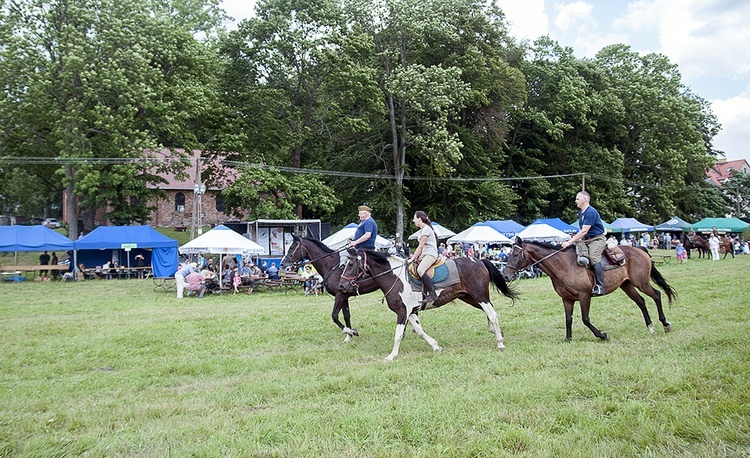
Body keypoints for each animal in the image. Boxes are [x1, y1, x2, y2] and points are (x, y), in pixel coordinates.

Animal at [340, 247, 520, 362]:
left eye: (351, 264)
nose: (341, 286)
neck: (394, 277)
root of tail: (479, 260)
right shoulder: (411, 312)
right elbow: (419, 331)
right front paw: (435, 346)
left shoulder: (402, 312)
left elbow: (398, 334)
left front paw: (391, 356)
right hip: (471, 298)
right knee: (491, 312)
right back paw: (497, 332)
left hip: (479, 296)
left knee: (492, 314)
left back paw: (500, 342)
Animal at [502, 240, 680, 340]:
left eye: (516, 254)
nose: (505, 275)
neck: (563, 265)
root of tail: (640, 250)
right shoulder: (567, 299)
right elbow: (568, 319)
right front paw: (568, 339)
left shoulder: (584, 296)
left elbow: (585, 319)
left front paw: (602, 335)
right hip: (627, 285)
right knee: (641, 302)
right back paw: (650, 327)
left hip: (641, 282)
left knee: (656, 295)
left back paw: (665, 324)